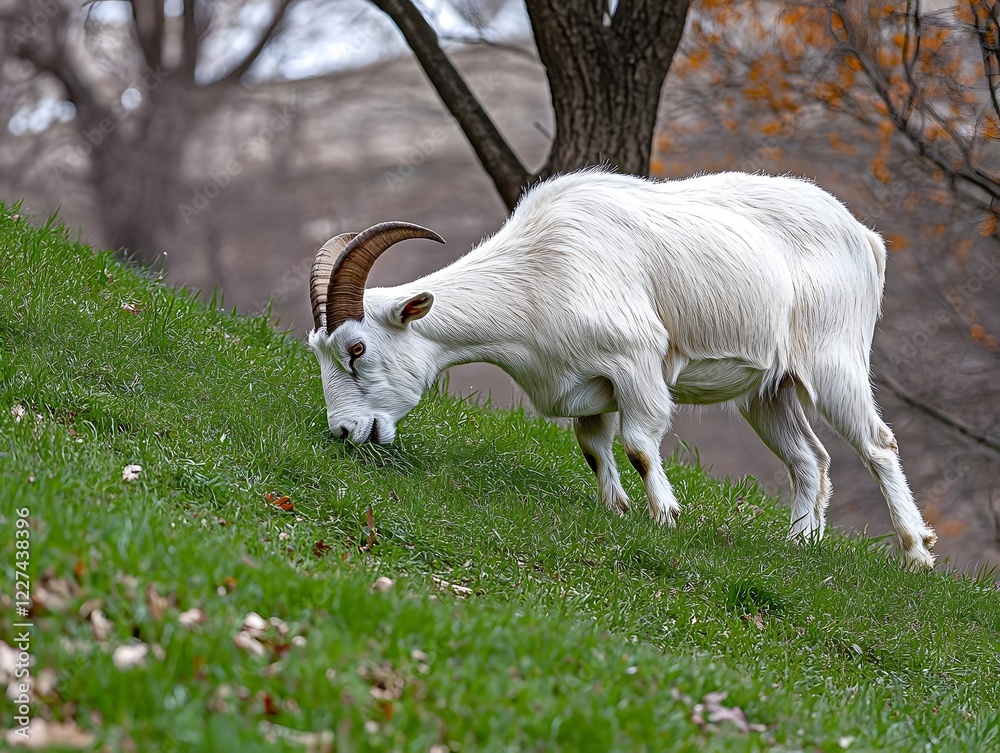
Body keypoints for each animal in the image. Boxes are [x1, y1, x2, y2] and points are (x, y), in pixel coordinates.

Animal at [307, 169, 937, 569]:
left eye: (356, 349)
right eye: (320, 350)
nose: (344, 432)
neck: (534, 271)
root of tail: (865, 238)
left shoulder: (636, 362)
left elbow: (638, 445)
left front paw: (665, 515)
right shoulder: (589, 387)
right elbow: (594, 448)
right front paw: (618, 508)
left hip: (834, 361)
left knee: (878, 444)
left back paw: (915, 553)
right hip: (770, 389)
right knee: (810, 459)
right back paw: (800, 544)